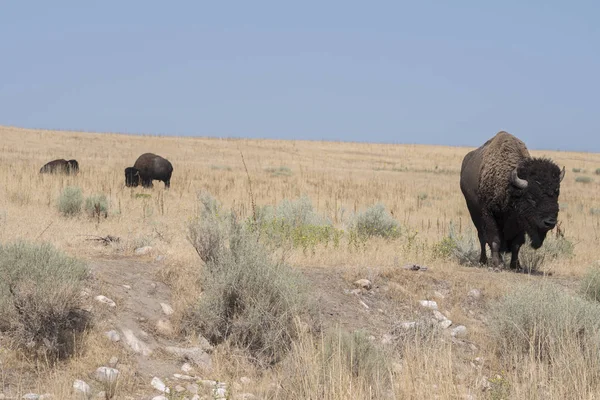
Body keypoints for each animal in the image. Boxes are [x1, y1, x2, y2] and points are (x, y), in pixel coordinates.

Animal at [462, 131, 564, 268]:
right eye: (531, 197)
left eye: (556, 194)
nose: (550, 222)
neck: (510, 187)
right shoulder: (489, 214)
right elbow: (494, 239)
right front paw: (497, 264)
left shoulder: (520, 223)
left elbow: (516, 245)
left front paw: (516, 266)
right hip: (474, 214)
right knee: (482, 238)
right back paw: (483, 261)